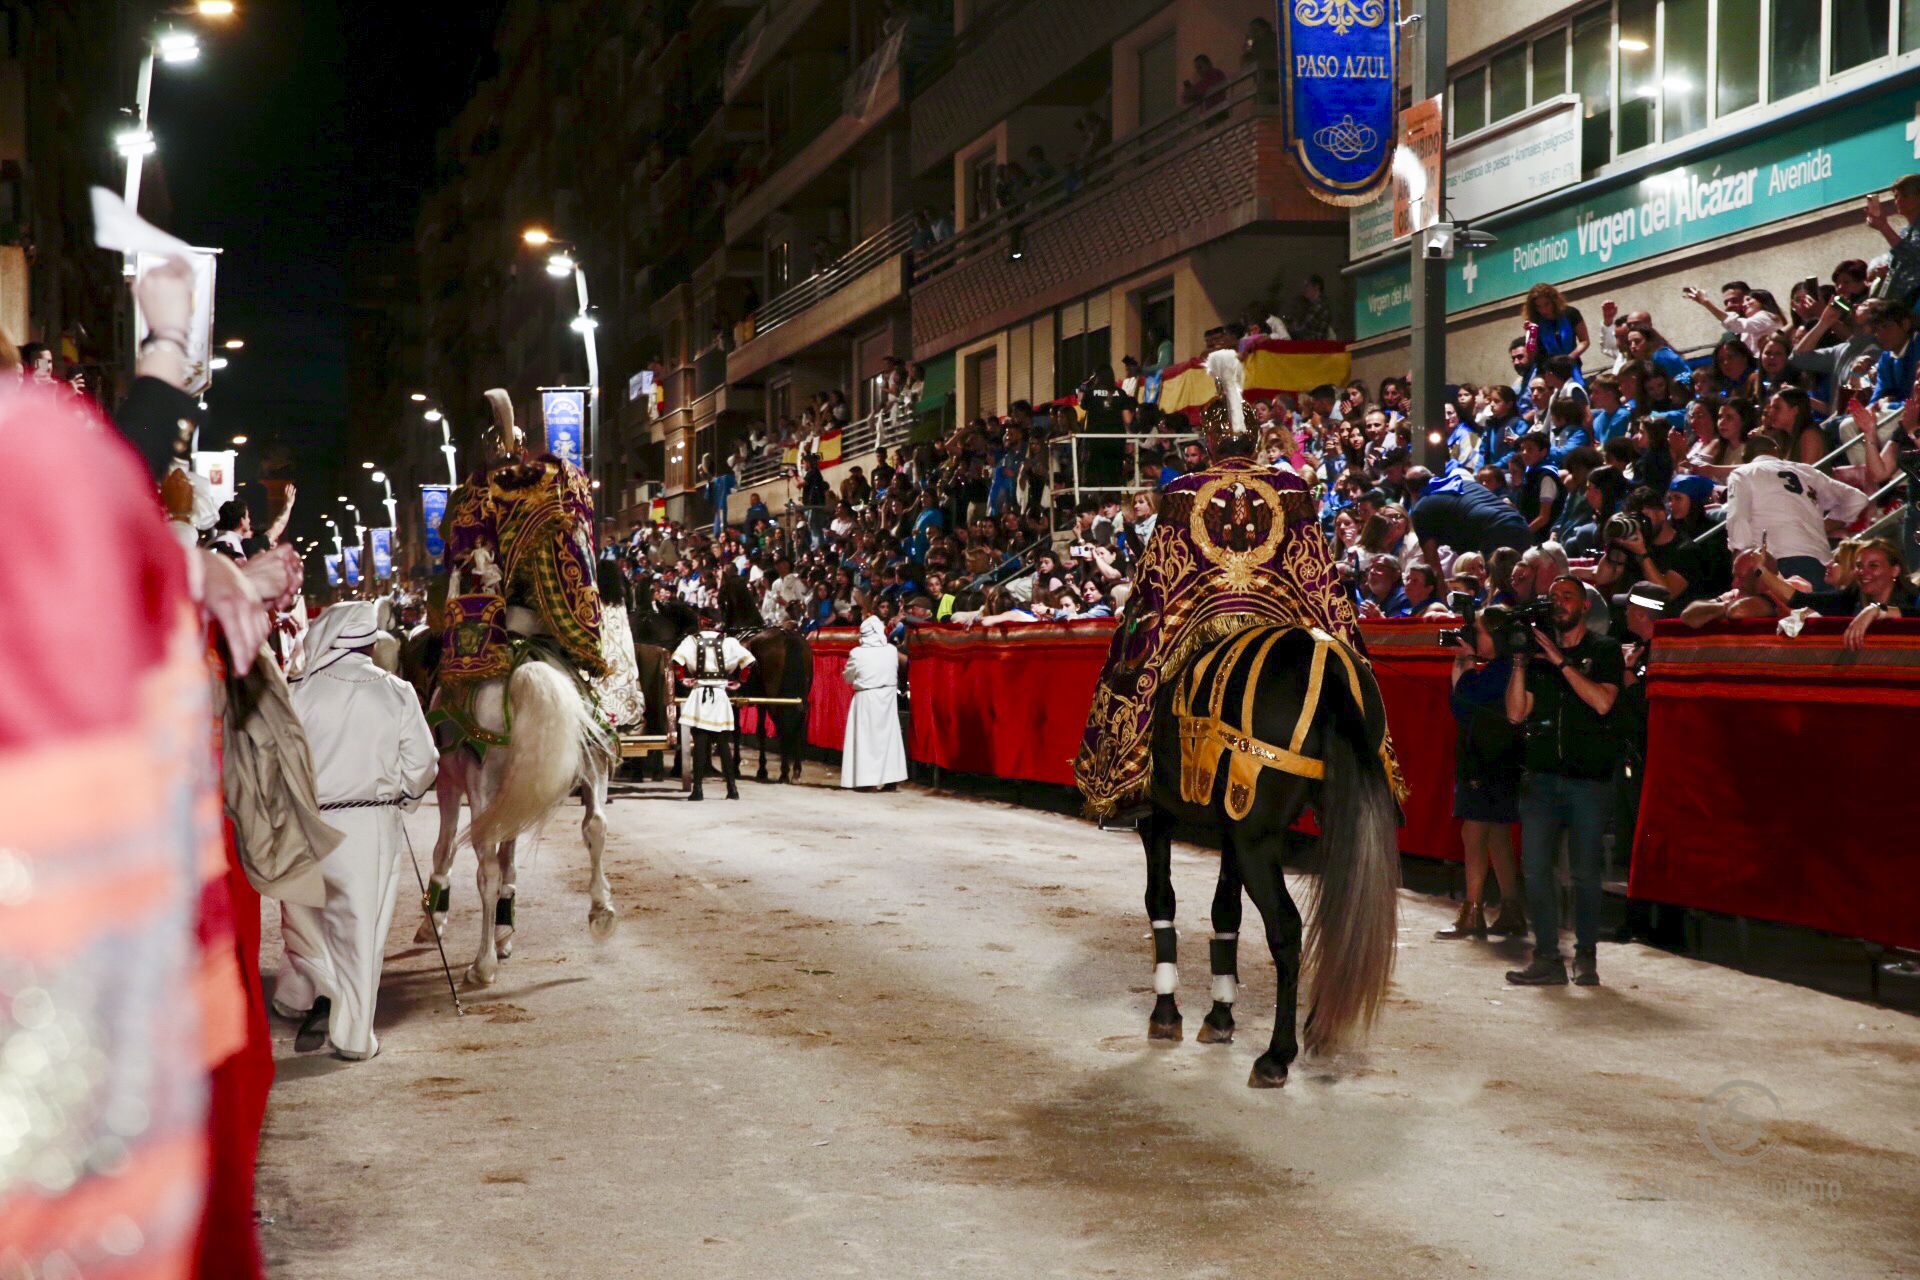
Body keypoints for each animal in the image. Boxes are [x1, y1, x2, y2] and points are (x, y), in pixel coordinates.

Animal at [418, 644, 614, 990]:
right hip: (591, 759)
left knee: (487, 870)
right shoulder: (513, 799)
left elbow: (445, 848)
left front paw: (434, 921)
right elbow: (508, 860)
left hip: (480, 783)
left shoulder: (448, 781)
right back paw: (601, 912)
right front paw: (503, 932)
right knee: (595, 825)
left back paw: (482, 965)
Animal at [1128, 625, 1405, 1090]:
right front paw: (1220, 1014)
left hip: (1255, 840)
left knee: (1287, 928)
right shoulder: (1229, 830)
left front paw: (1166, 1012)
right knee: (1335, 913)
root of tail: (1326, 662)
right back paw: (1319, 1028)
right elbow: (1225, 910)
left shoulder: (1159, 816)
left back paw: (1277, 1055)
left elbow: (1160, 898)